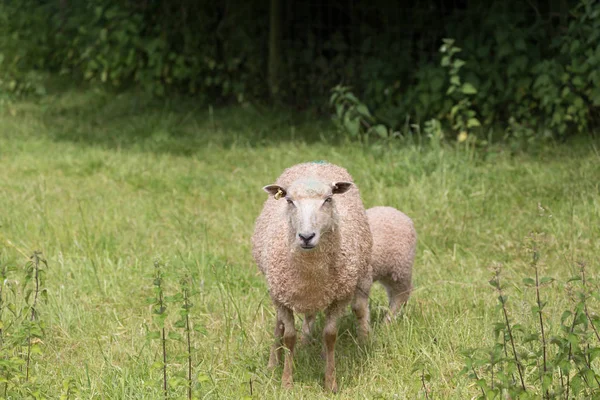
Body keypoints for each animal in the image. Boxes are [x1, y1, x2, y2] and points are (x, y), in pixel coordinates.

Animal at [251, 161, 372, 392]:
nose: (306, 236)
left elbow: (330, 336)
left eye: (328, 199)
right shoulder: (280, 296)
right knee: (279, 325)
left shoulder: (340, 297)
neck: (310, 273)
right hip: (276, 290)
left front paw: (330, 382)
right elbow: (289, 336)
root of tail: (315, 162)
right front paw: (286, 382)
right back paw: (273, 362)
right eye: (289, 201)